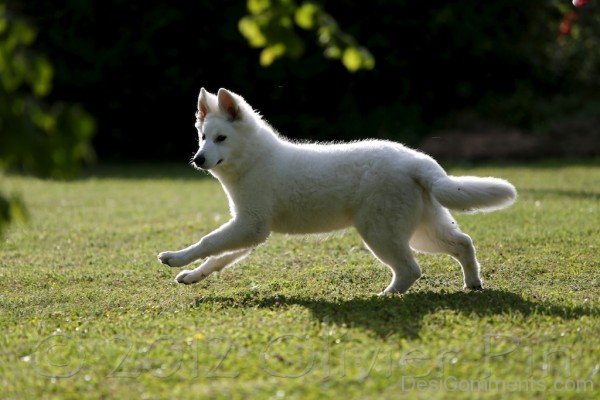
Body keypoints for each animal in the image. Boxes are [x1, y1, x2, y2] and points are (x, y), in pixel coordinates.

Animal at [157, 88, 516, 294]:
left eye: (221, 138)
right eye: (203, 136)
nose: (198, 159)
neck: (256, 158)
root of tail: (418, 161)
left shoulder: (251, 225)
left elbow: (208, 242)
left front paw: (175, 258)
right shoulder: (250, 230)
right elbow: (218, 256)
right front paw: (193, 275)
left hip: (381, 232)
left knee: (411, 269)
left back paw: (387, 296)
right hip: (421, 230)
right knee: (463, 243)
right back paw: (473, 283)